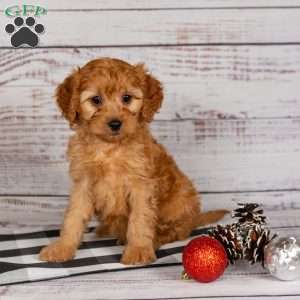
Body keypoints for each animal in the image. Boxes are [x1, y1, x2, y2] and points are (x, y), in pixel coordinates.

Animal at [39, 58, 227, 264]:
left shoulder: (141, 185)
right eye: (96, 100)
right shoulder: (83, 183)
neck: (110, 148)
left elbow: (140, 219)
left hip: (181, 200)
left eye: (127, 98)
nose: (115, 123)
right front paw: (62, 247)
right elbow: (73, 216)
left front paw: (138, 249)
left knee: (177, 230)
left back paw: (155, 239)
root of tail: (194, 218)